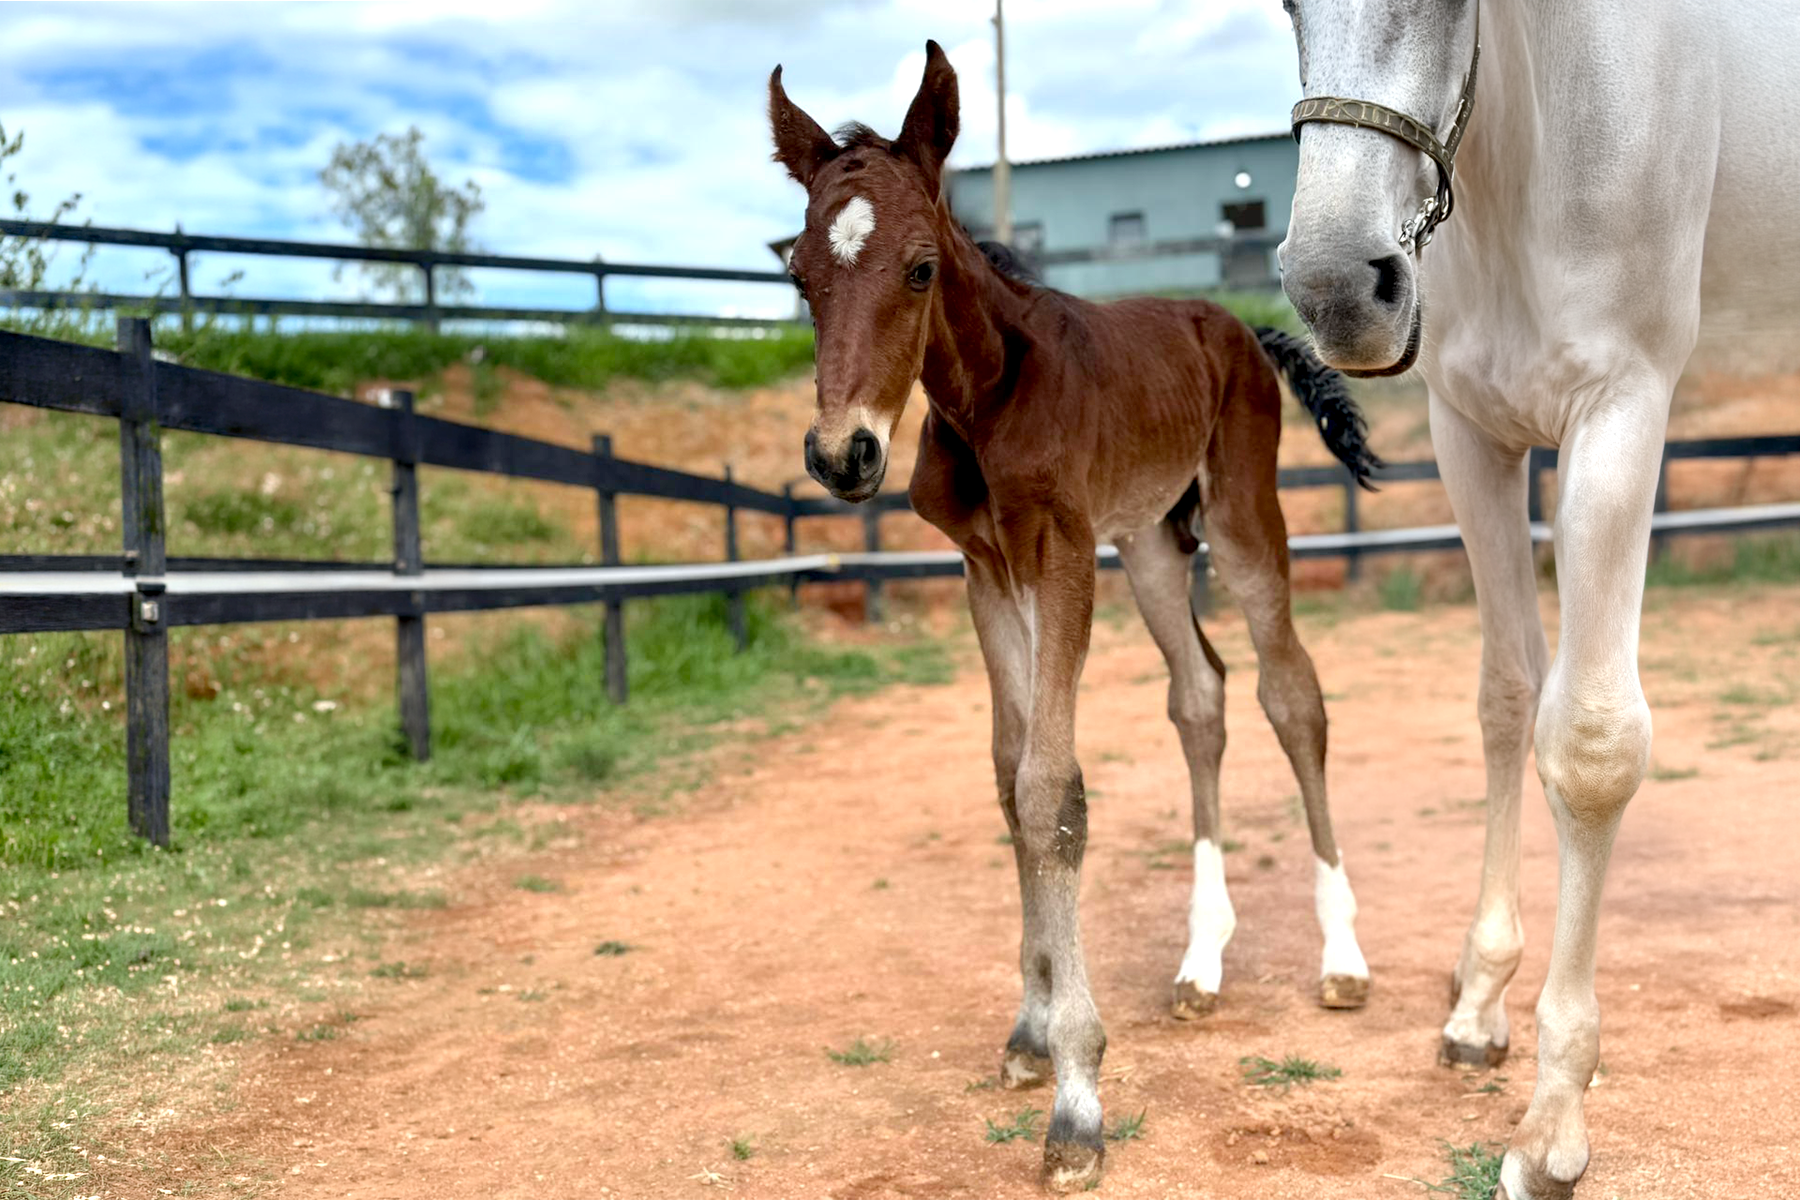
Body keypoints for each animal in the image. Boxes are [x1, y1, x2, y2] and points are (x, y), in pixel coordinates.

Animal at [770, 41, 1381, 1192]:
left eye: (920, 267)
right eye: (800, 278)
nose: (842, 455)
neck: (988, 397)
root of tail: (1233, 322)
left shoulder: (1059, 553)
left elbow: (1052, 789)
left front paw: (1078, 1097)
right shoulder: (986, 567)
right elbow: (1011, 777)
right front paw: (1028, 1030)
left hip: (1240, 518)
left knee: (1293, 695)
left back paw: (1343, 957)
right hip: (1149, 543)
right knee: (1202, 696)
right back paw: (1201, 964)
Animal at [1276, 2, 1800, 1196]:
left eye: (1446, 5)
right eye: (1282, 10)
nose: (1339, 291)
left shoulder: (1620, 417)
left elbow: (1594, 746)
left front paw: (1553, 1119)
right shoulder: (1472, 433)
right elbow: (1507, 697)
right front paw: (1478, 1001)